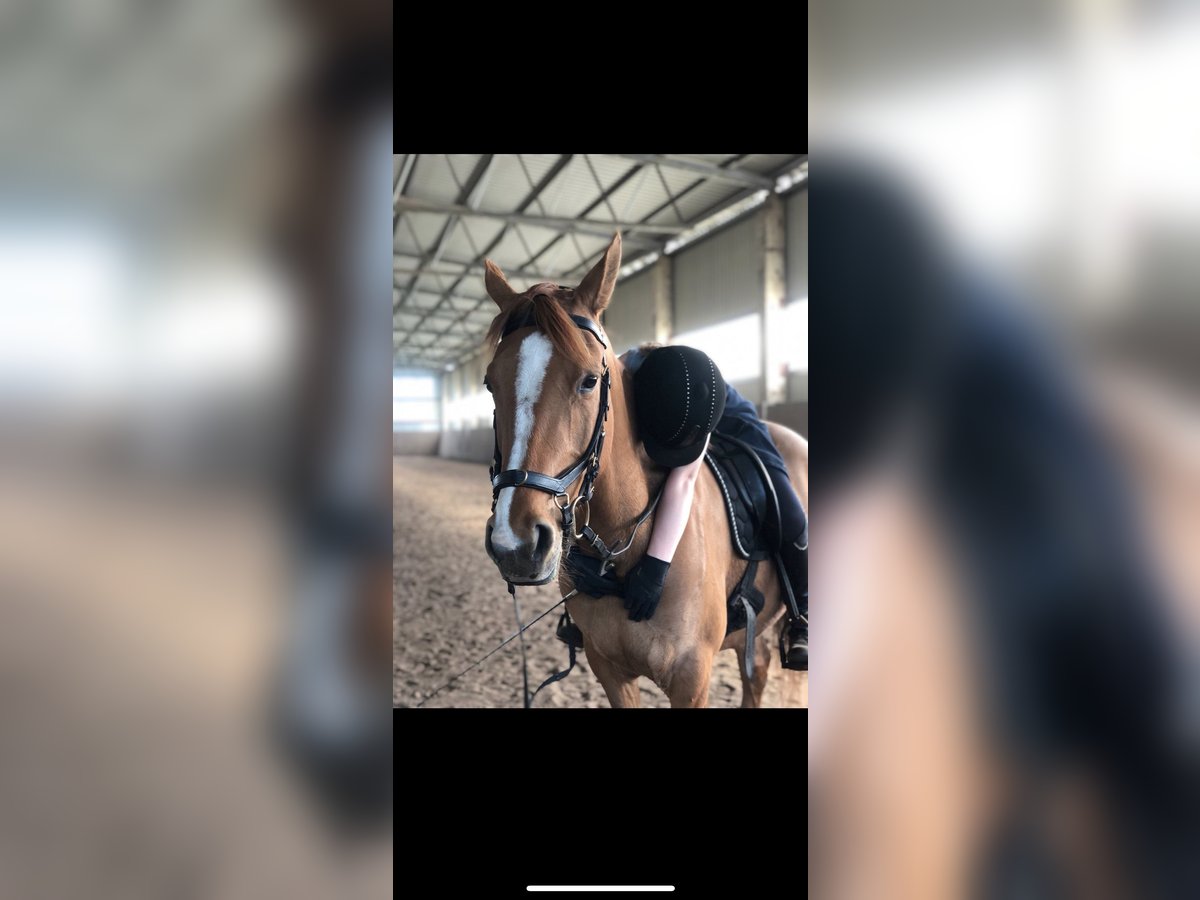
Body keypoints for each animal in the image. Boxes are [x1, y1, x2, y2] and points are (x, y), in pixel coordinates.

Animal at [480, 232, 809, 708]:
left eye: (589, 381)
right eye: (491, 382)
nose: (517, 546)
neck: (626, 549)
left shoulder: (692, 679)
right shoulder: (608, 669)